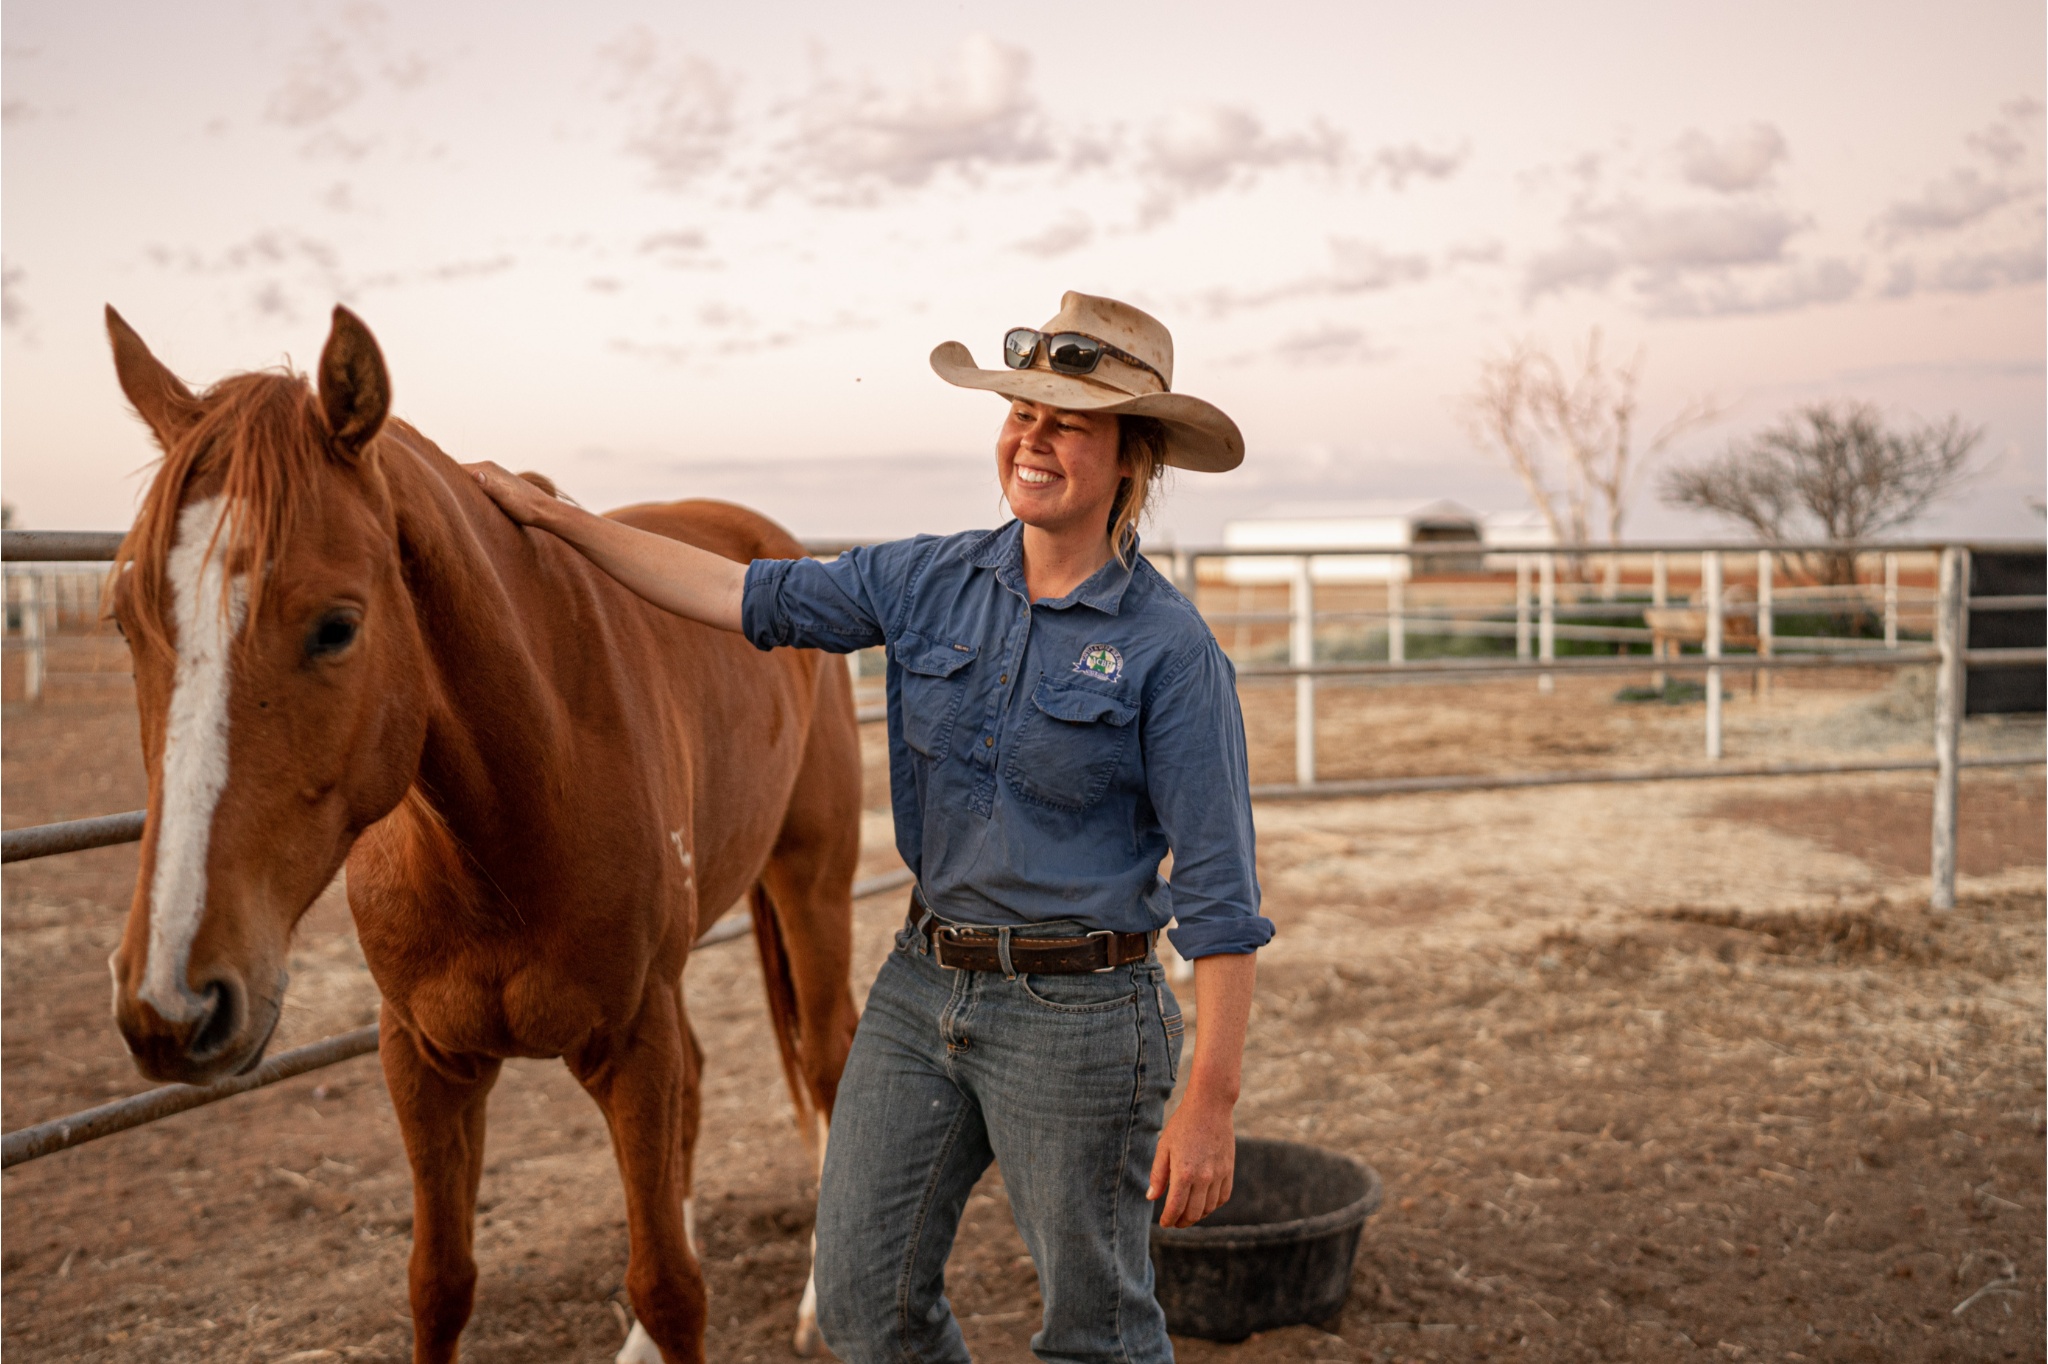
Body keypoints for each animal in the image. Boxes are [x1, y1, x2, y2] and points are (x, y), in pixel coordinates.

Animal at [103, 307, 860, 1359]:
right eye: (124, 619)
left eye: (336, 627)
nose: (173, 1002)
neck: (510, 820)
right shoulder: (424, 1059)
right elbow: (440, 1283)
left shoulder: (633, 1041)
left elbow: (670, 1286)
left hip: (809, 886)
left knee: (829, 1063)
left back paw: (820, 1305)